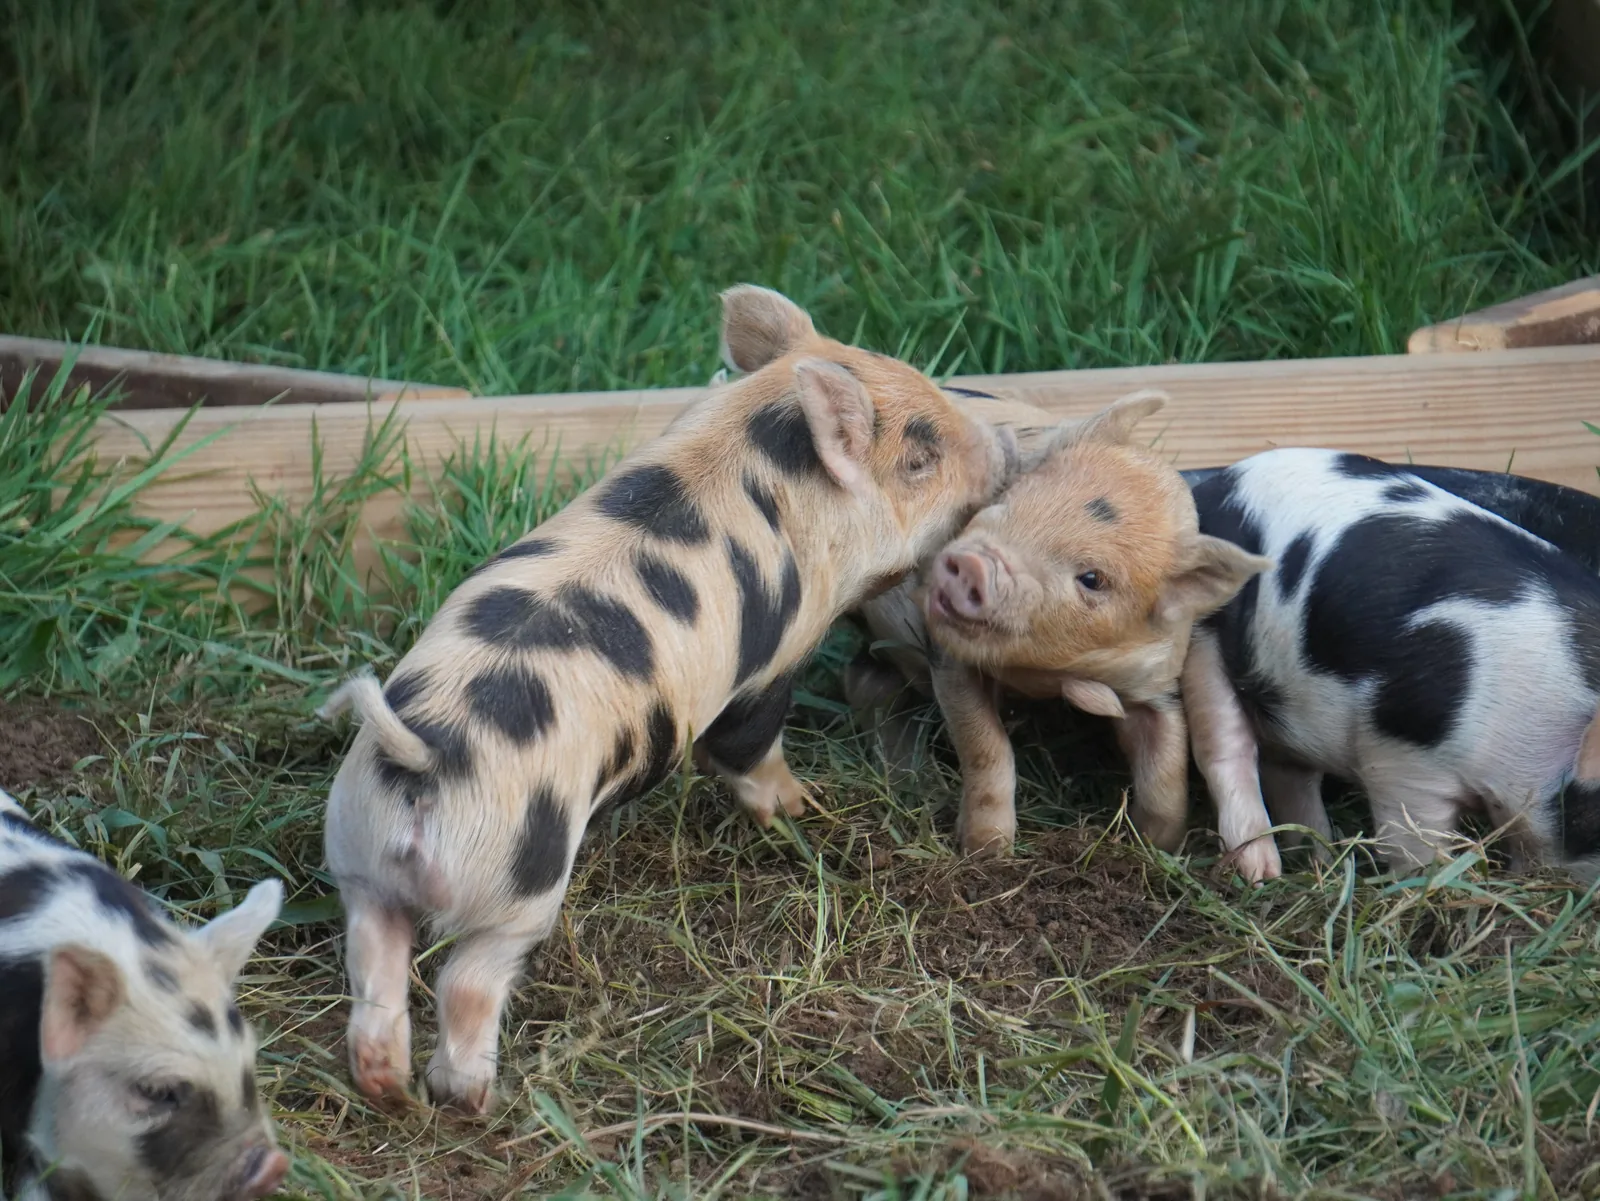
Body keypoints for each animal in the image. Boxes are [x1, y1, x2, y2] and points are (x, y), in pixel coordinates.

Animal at [316, 285, 1038, 1113]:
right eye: (921, 459)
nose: (1006, 449)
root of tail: (423, 761)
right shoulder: (767, 665)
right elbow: (746, 747)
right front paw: (801, 807)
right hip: (512, 887)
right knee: (466, 981)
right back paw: (471, 1097)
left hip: (358, 860)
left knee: (374, 975)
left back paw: (387, 1090)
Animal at [842, 389, 1271, 857]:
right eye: (1001, 505)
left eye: (1092, 579)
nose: (973, 563)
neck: (1049, 671)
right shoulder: (949, 658)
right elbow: (986, 746)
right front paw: (987, 852)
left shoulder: (1157, 681)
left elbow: (1167, 768)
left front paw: (1159, 846)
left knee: (867, 682)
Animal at [1183, 447, 1600, 883]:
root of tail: (1214, 485)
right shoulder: (1402, 753)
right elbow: (1414, 837)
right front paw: (1429, 881)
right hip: (1203, 642)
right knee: (1226, 749)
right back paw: (1262, 870)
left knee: (1290, 774)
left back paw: (1321, 856)